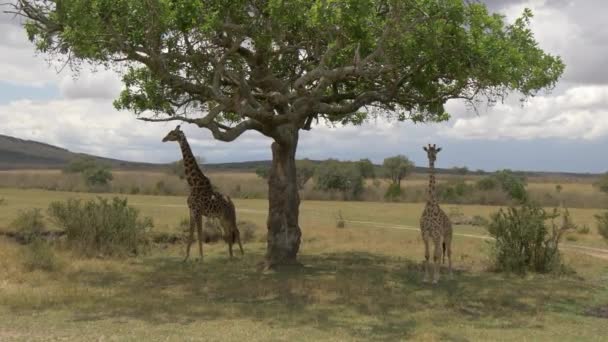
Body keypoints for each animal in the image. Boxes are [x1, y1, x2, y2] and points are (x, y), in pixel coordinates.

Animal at [164, 125, 247, 262]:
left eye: (173, 133)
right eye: (169, 133)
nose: (163, 139)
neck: (193, 184)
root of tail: (232, 202)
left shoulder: (198, 211)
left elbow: (199, 234)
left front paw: (201, 258)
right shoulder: (192, 211)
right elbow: (191, 233)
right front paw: (186, 258)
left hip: (230, 216)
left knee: (236, 231)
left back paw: (241, 254)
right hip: (221, 218)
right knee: (228, 233)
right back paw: (230, 256)